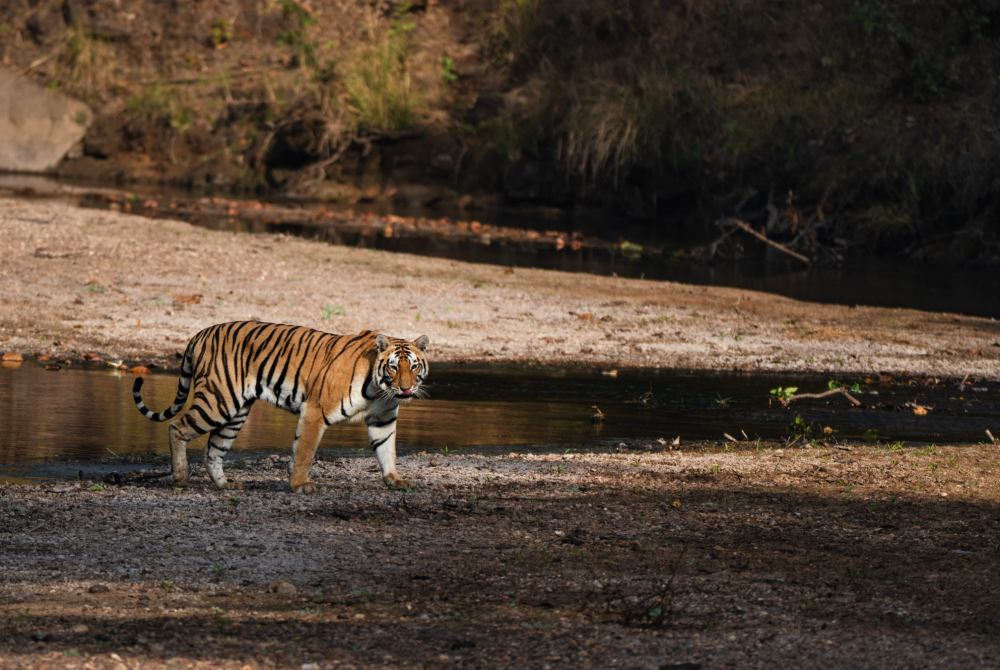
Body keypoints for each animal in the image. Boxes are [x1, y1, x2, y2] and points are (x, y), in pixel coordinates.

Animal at [132, 322, 429, 493]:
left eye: (414, 366)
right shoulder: (315, 411)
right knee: (176, 427)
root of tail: (200, 333)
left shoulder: (383, 421)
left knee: (213, 450)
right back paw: (180, 476)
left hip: (235, 412)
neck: (380, 390)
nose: (405, 389)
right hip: (218, 401)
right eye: (393, 366)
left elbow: (387, 451)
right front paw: (300, 485)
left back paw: (225, 485)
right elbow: (304, 452)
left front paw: (395, 480)